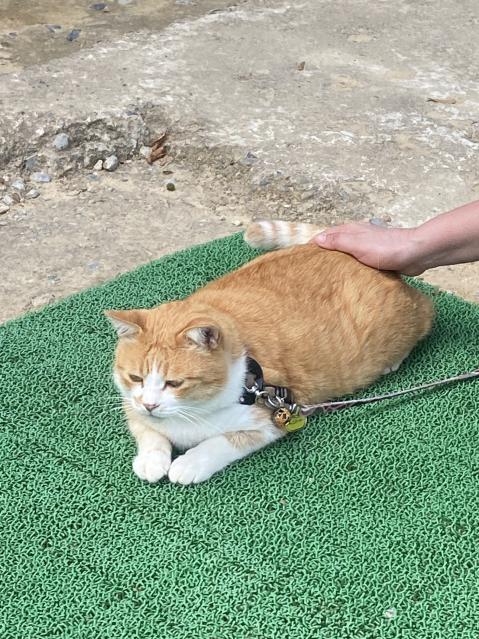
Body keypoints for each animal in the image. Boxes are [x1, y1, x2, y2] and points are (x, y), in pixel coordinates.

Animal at [106, 220, 434, 485]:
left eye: (175, 383)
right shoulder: (132, 406)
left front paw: (189, 464)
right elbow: (148, 432)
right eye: (135, 378)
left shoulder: (272, 421)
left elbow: (220, 443)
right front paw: (151, 460)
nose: (150, 404)